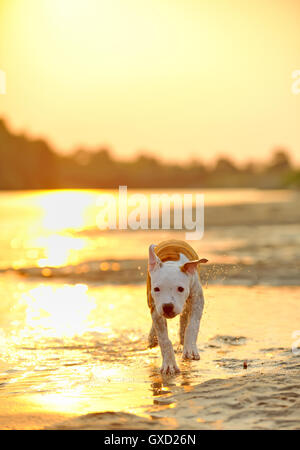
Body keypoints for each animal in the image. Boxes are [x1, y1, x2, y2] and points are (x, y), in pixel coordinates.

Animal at [146, 241, 207, 374]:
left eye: (180, 288)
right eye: (156, 289)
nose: (168, 306)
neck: (171, 263)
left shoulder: (197, 299)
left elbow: (193, 325)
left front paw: (190, 349)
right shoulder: (155, 308)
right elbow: (164, 339)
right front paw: (169, 365)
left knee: (185, 316)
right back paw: (152, 338)